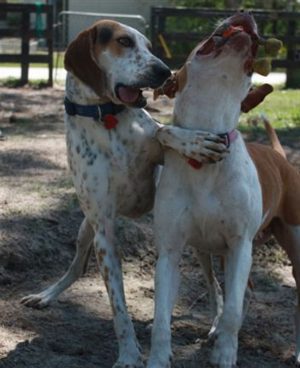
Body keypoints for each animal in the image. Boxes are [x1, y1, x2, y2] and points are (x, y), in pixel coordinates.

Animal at [21, 20, 227, 368]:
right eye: (123, 42)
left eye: (148, 46)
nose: (164, 71)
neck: (106, 117)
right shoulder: (103, 231)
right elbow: (118, 306)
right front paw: (129, 353)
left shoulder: (156, 145)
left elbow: (164, 130)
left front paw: (194, 142)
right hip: (85, 229)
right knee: (76, 267)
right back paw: (47, 294)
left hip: (197, 244)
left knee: (214, 285)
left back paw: (214, 323)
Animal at [150, 11, 300, 368]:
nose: (246, 12)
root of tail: (279, 155)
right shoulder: (170, 251)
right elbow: (162, 316)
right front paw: (158, 357)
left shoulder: (240, 244)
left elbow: (232, 309)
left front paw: (225, 354)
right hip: (207, 252)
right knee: (220, 287)